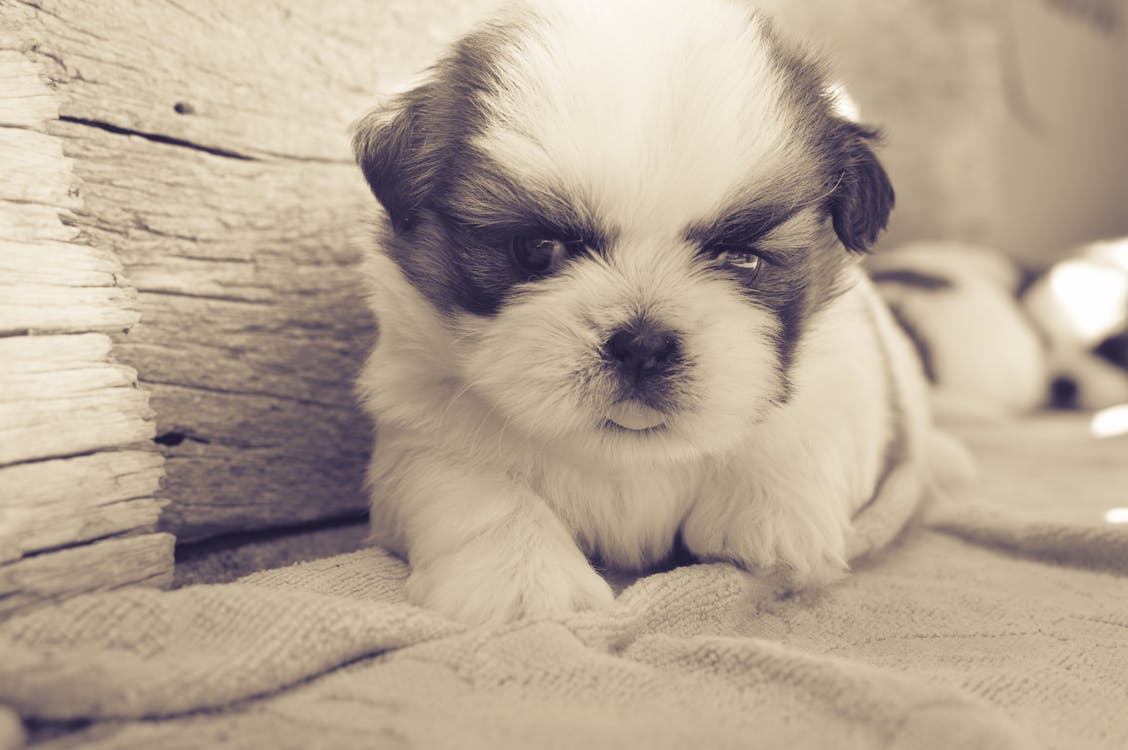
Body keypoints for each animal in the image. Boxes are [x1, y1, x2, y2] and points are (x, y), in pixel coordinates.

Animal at [349, 0, 943, 622]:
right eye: (537, 248)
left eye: (741, 257)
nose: (643, 344)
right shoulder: (421, 424)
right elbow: (473, 488)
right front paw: (519, 578)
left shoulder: (845, 367)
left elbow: (800, 425)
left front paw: (769, 515)